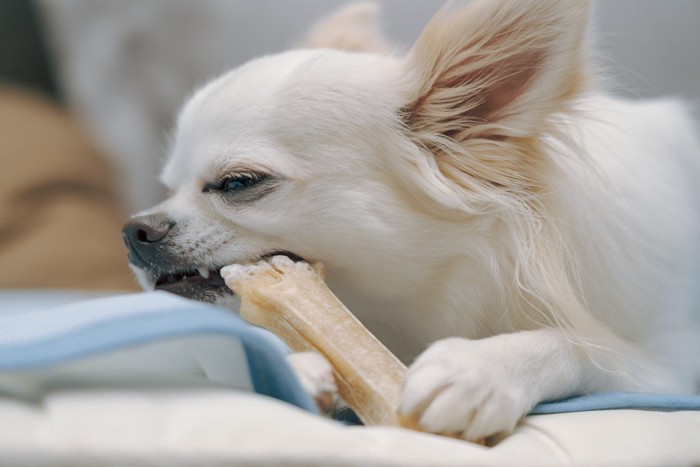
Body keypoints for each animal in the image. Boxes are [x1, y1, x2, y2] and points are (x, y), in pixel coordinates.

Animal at [124, 0, 700, 440]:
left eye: (237, 183)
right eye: (168, 187)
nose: (134, 230)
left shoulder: (672, 364)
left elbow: (584, 342)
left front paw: (481, 369)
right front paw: (287, 365)